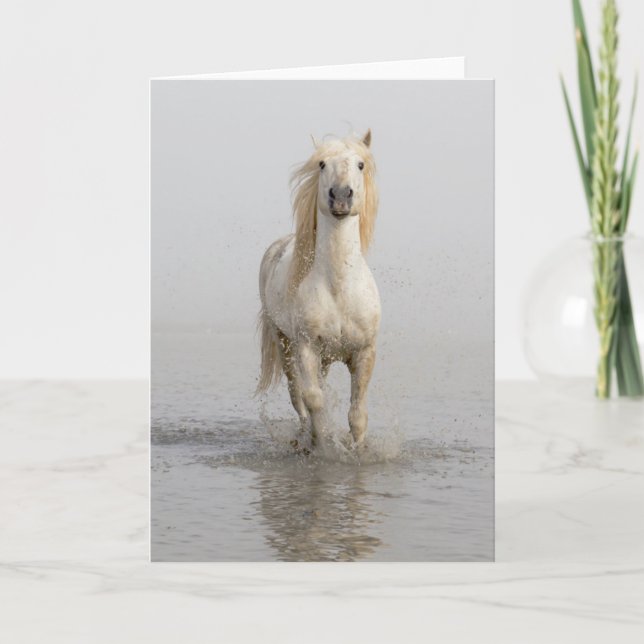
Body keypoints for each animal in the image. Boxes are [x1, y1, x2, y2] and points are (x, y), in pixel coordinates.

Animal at [256, 130, 380, 451]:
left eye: (360, 164)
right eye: (322, 164)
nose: (341, 196)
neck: (339, 288)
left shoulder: (364, 352)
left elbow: (357, 412)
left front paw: (356, 450)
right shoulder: (307, 348)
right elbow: (313, 399)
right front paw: (321, 443)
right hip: (284, 343)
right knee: (296, 394)